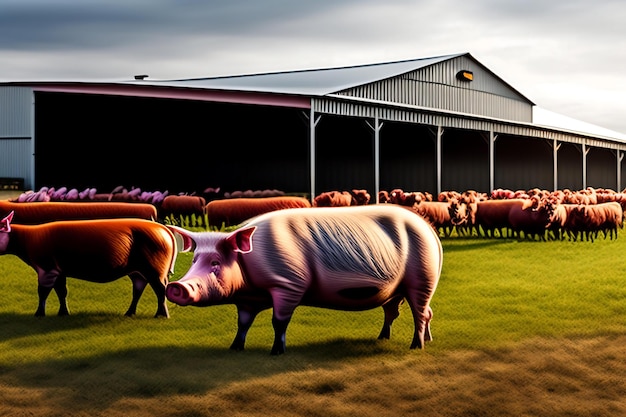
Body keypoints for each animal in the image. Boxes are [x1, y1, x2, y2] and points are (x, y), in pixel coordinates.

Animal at [163, 205, 442, 354]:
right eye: (195, 260)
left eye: (216, 263)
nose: (176, 286)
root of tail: (428, 229)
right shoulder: (247, 299)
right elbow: (242, 323)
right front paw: (234, 348)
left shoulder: (288, 284)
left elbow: (279, 321)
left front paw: (276, 352)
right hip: (396, 289)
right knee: (400, 312)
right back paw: (384, 339)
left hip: (422, 278)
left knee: (420, 313)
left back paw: (416, 347)